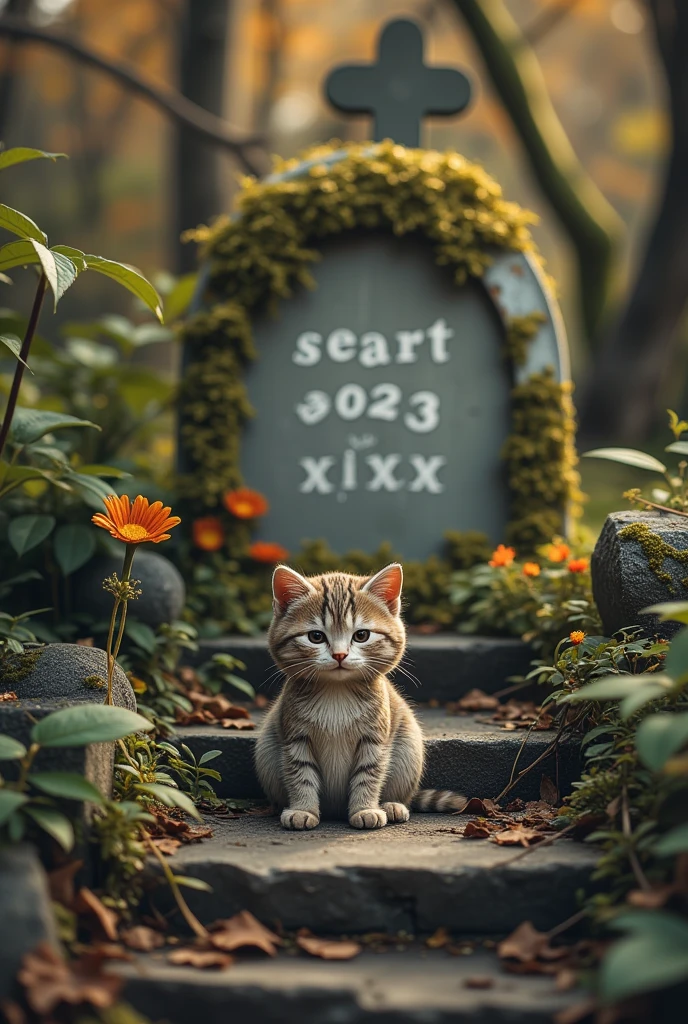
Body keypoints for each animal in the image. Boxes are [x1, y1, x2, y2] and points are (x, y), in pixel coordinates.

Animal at [254, 561, 464, 831]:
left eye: (361, 635)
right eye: (316, 637)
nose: (339, 655)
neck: (337, 692)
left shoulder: (374, 740)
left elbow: (369, 775)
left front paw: (365, 809)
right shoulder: (295, 739)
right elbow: (301, 775)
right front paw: (303, 809)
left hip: (409, 745)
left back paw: (391, 805)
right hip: (266, 750)